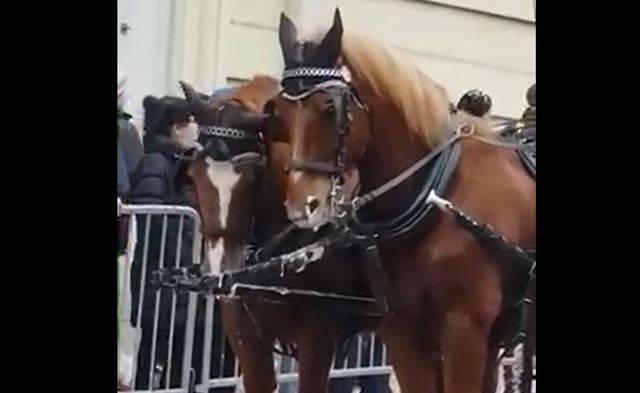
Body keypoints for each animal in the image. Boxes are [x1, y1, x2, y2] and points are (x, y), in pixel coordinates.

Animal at [270, 9, 536, 392]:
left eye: (329, 108)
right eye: (279, 112)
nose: (301, 207)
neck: (433, 199)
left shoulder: (465, 332)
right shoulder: (402, 331)